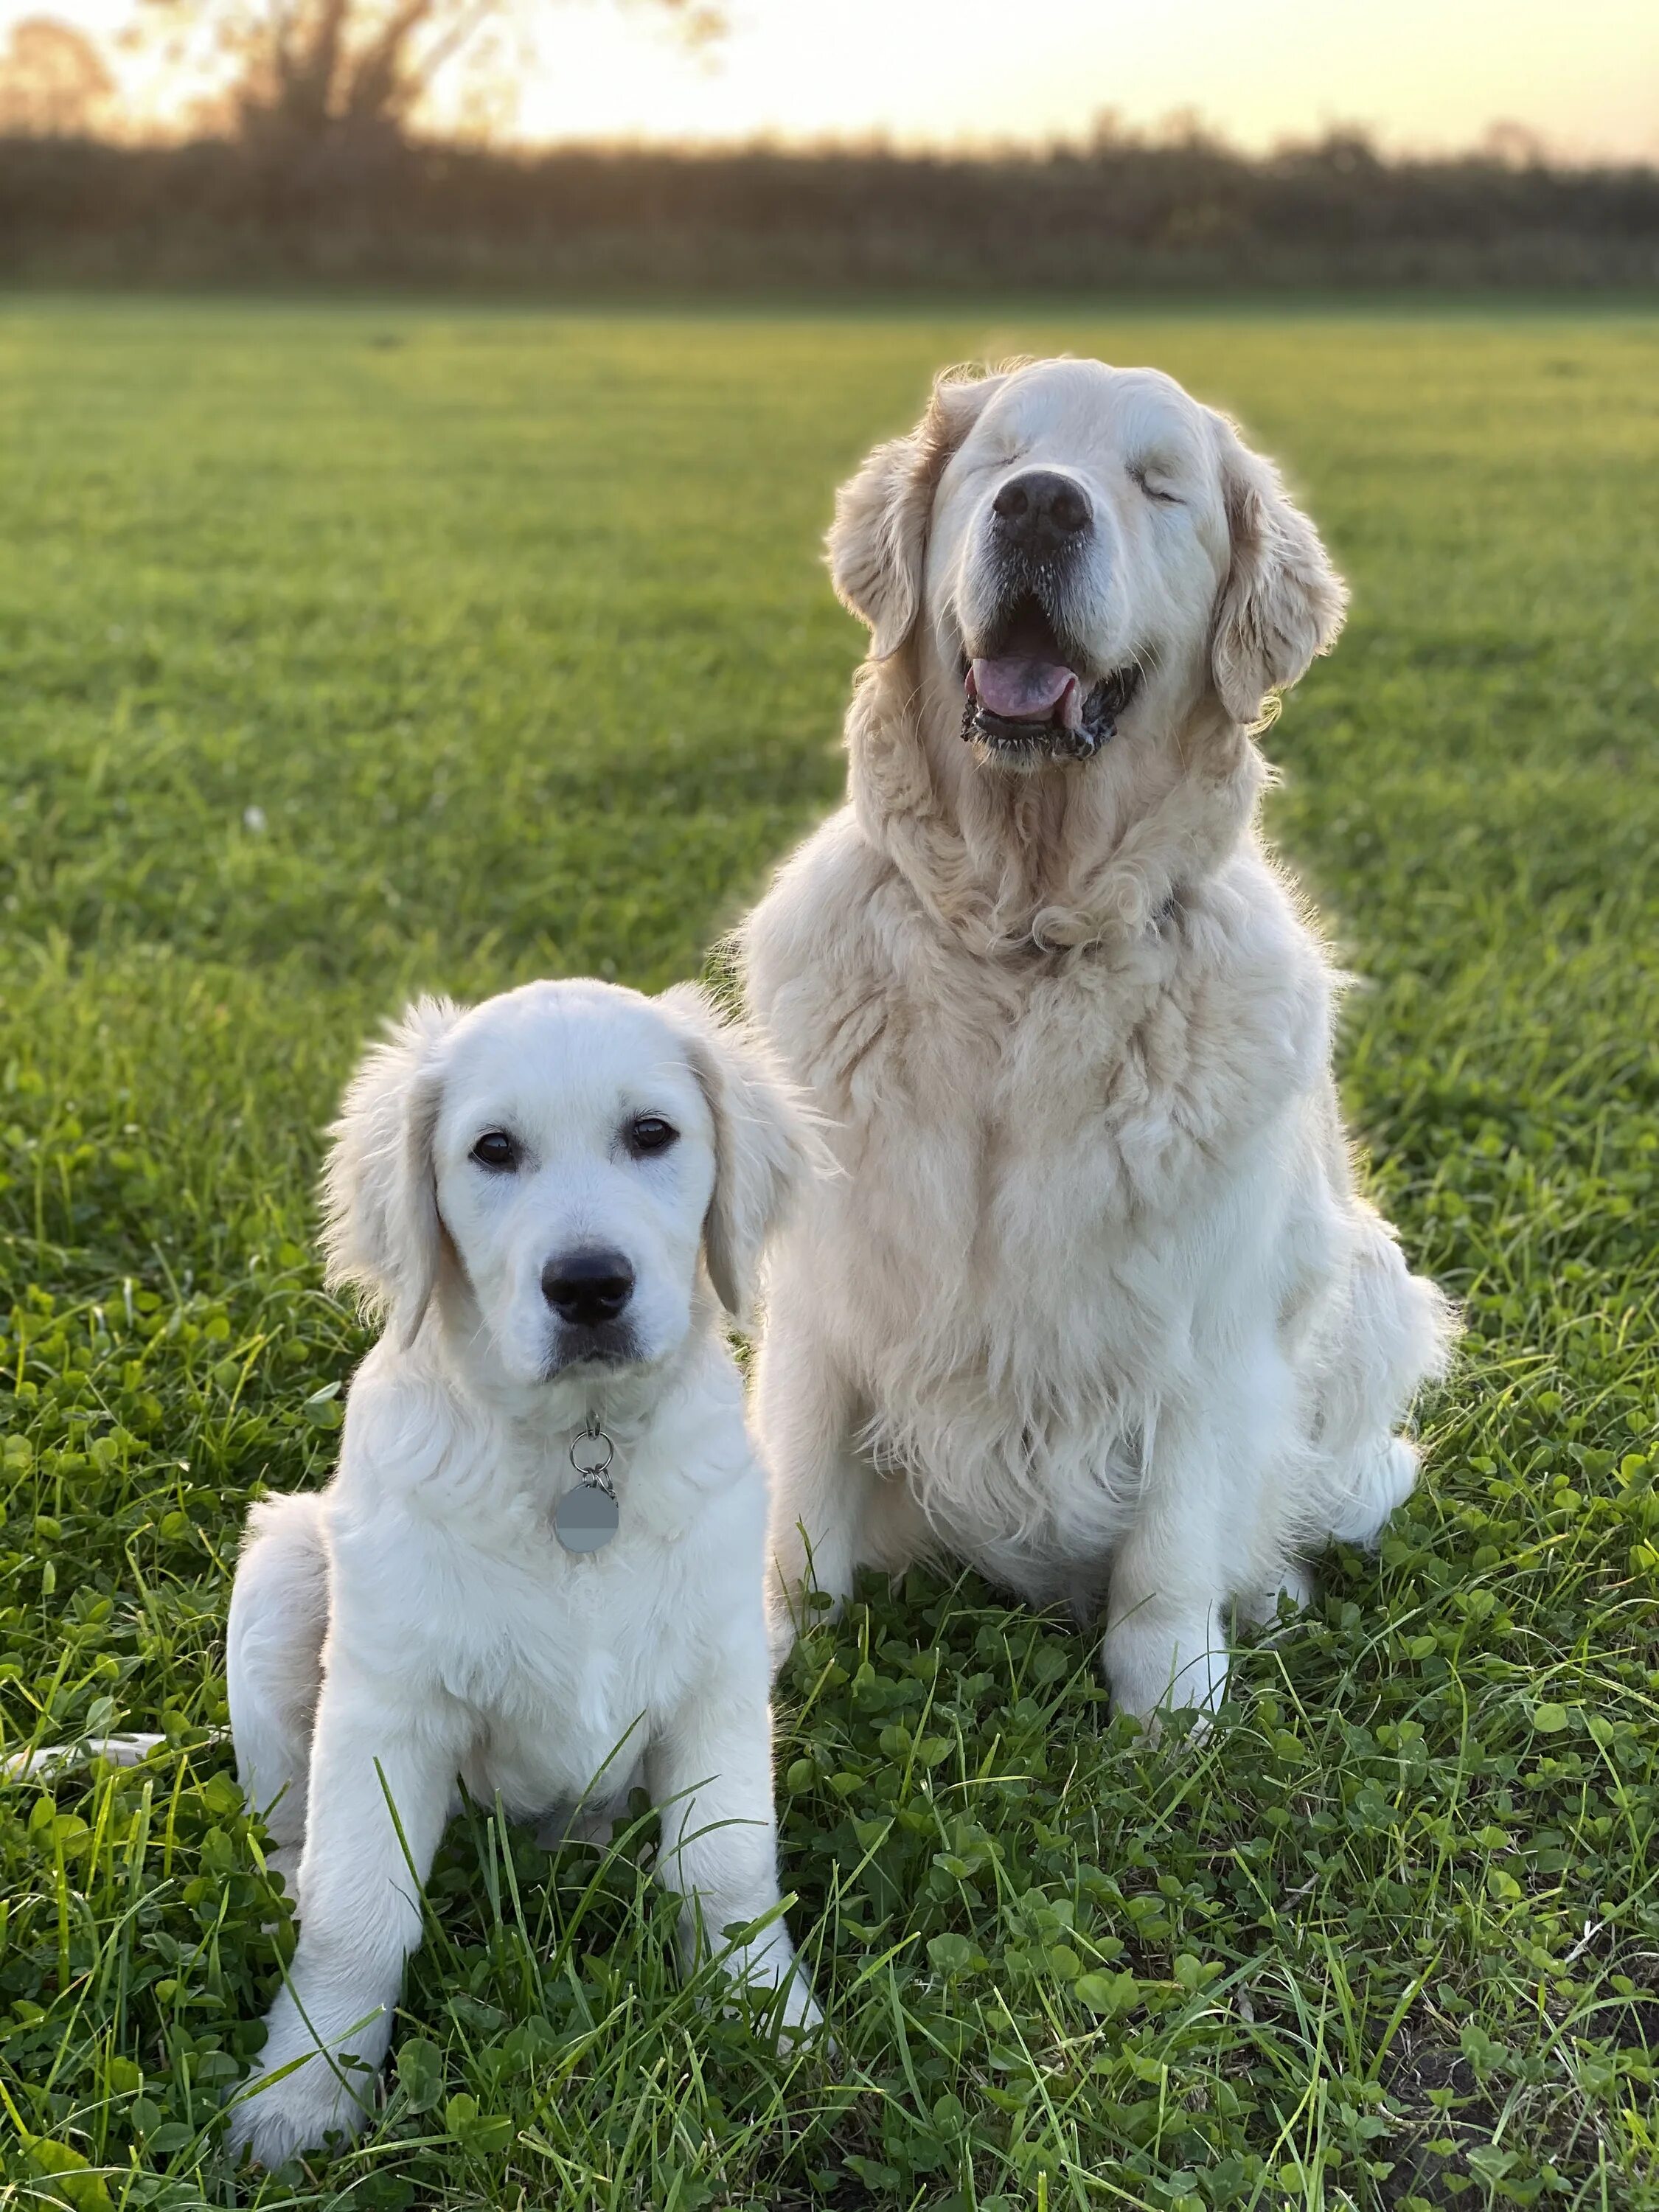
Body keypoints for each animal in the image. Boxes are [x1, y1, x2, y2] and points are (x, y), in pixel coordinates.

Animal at [228, 982, 827, 2159]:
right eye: (492, 1151)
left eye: (652, 1134)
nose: (589, 1287)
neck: (575, 1449)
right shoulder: (386, 1705)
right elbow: (359, 1909)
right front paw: (303, 2091)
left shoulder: (722, 1676)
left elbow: (727, 1870)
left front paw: (770, 2020)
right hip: (279, 1578)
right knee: (291, 1830)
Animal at [748, 354, 1460, 1717]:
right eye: (997, 457)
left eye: (1158, 484)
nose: (1038, 507)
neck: (1026, 941)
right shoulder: (825, 1300)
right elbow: (798, 1522)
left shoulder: (1205, 1327)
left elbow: (1171, 1544)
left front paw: (1169, 1703)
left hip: (1371, 1283)